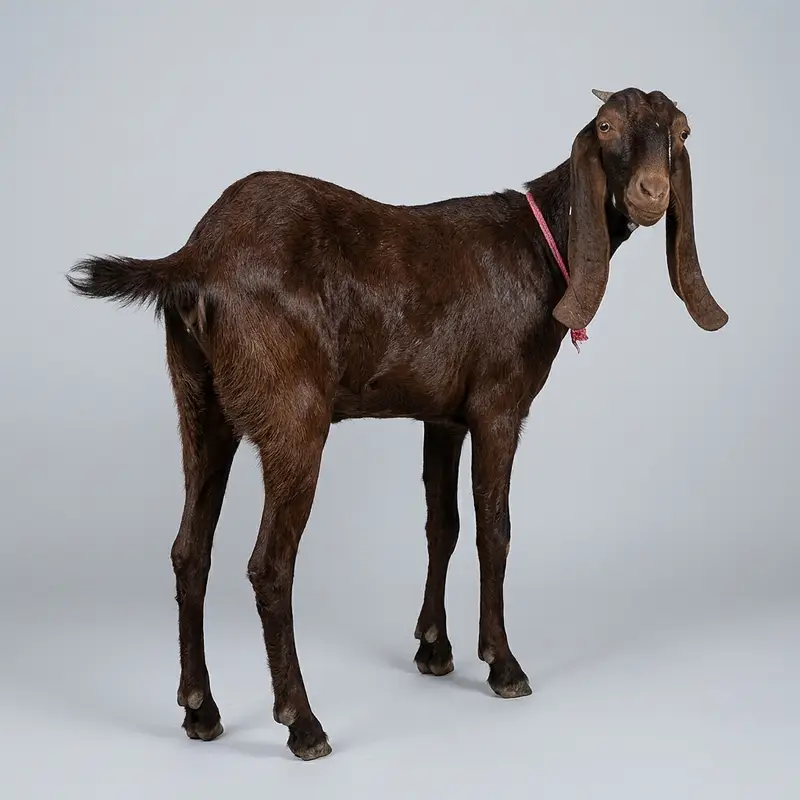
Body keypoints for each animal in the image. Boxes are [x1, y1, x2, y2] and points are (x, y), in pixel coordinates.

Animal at [67, 87, 728, 760]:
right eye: (607, 126)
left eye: (680, 131)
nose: (653, 192)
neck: (540, 246)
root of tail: (195, 259)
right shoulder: (498, 406)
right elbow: (494, 528)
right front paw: (503, 664)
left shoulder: (443, 415)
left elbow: (443, 524)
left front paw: (434, 649)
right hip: (294, 417)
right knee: (270, 565)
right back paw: (303, 723)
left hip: (200, 407)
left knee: (189, 551)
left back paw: (200, 710)